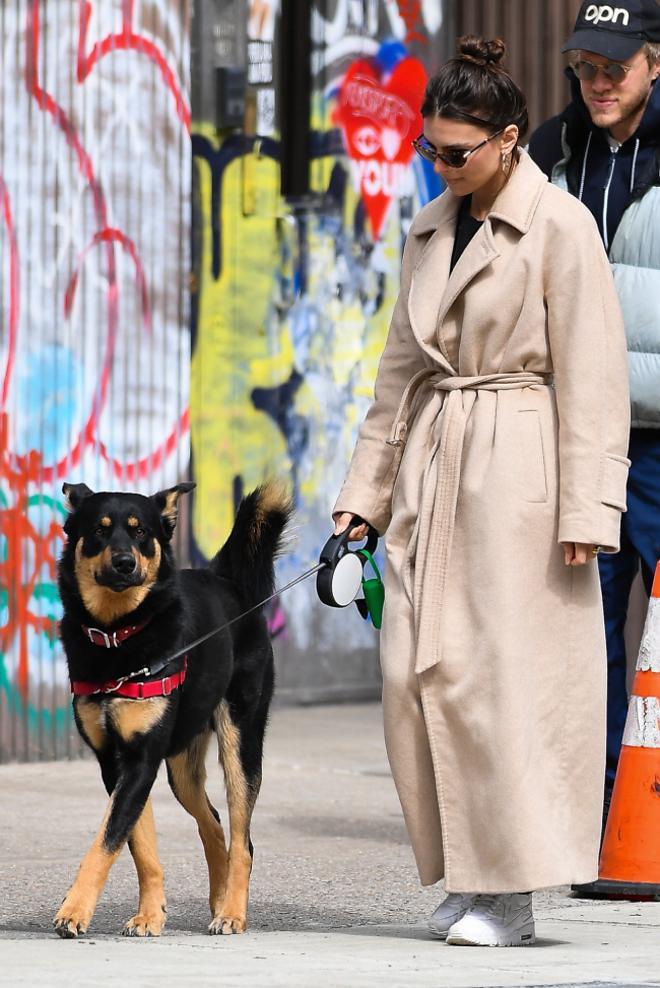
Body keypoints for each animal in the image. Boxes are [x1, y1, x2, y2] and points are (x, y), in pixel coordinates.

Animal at [55, 482, 292, 936]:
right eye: (100, 529)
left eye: (140, 531)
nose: (125, 563)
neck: (118, 634)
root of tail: (224, 577)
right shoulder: (118, 763)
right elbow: (138, 844)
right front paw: (150, 915)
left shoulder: (141, 758)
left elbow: (105, 842)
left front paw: (73, 911)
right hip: (181, 768)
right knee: (213, 823)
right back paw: (218, 900)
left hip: (240, 741)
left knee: (243, 839)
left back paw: (232, 912)